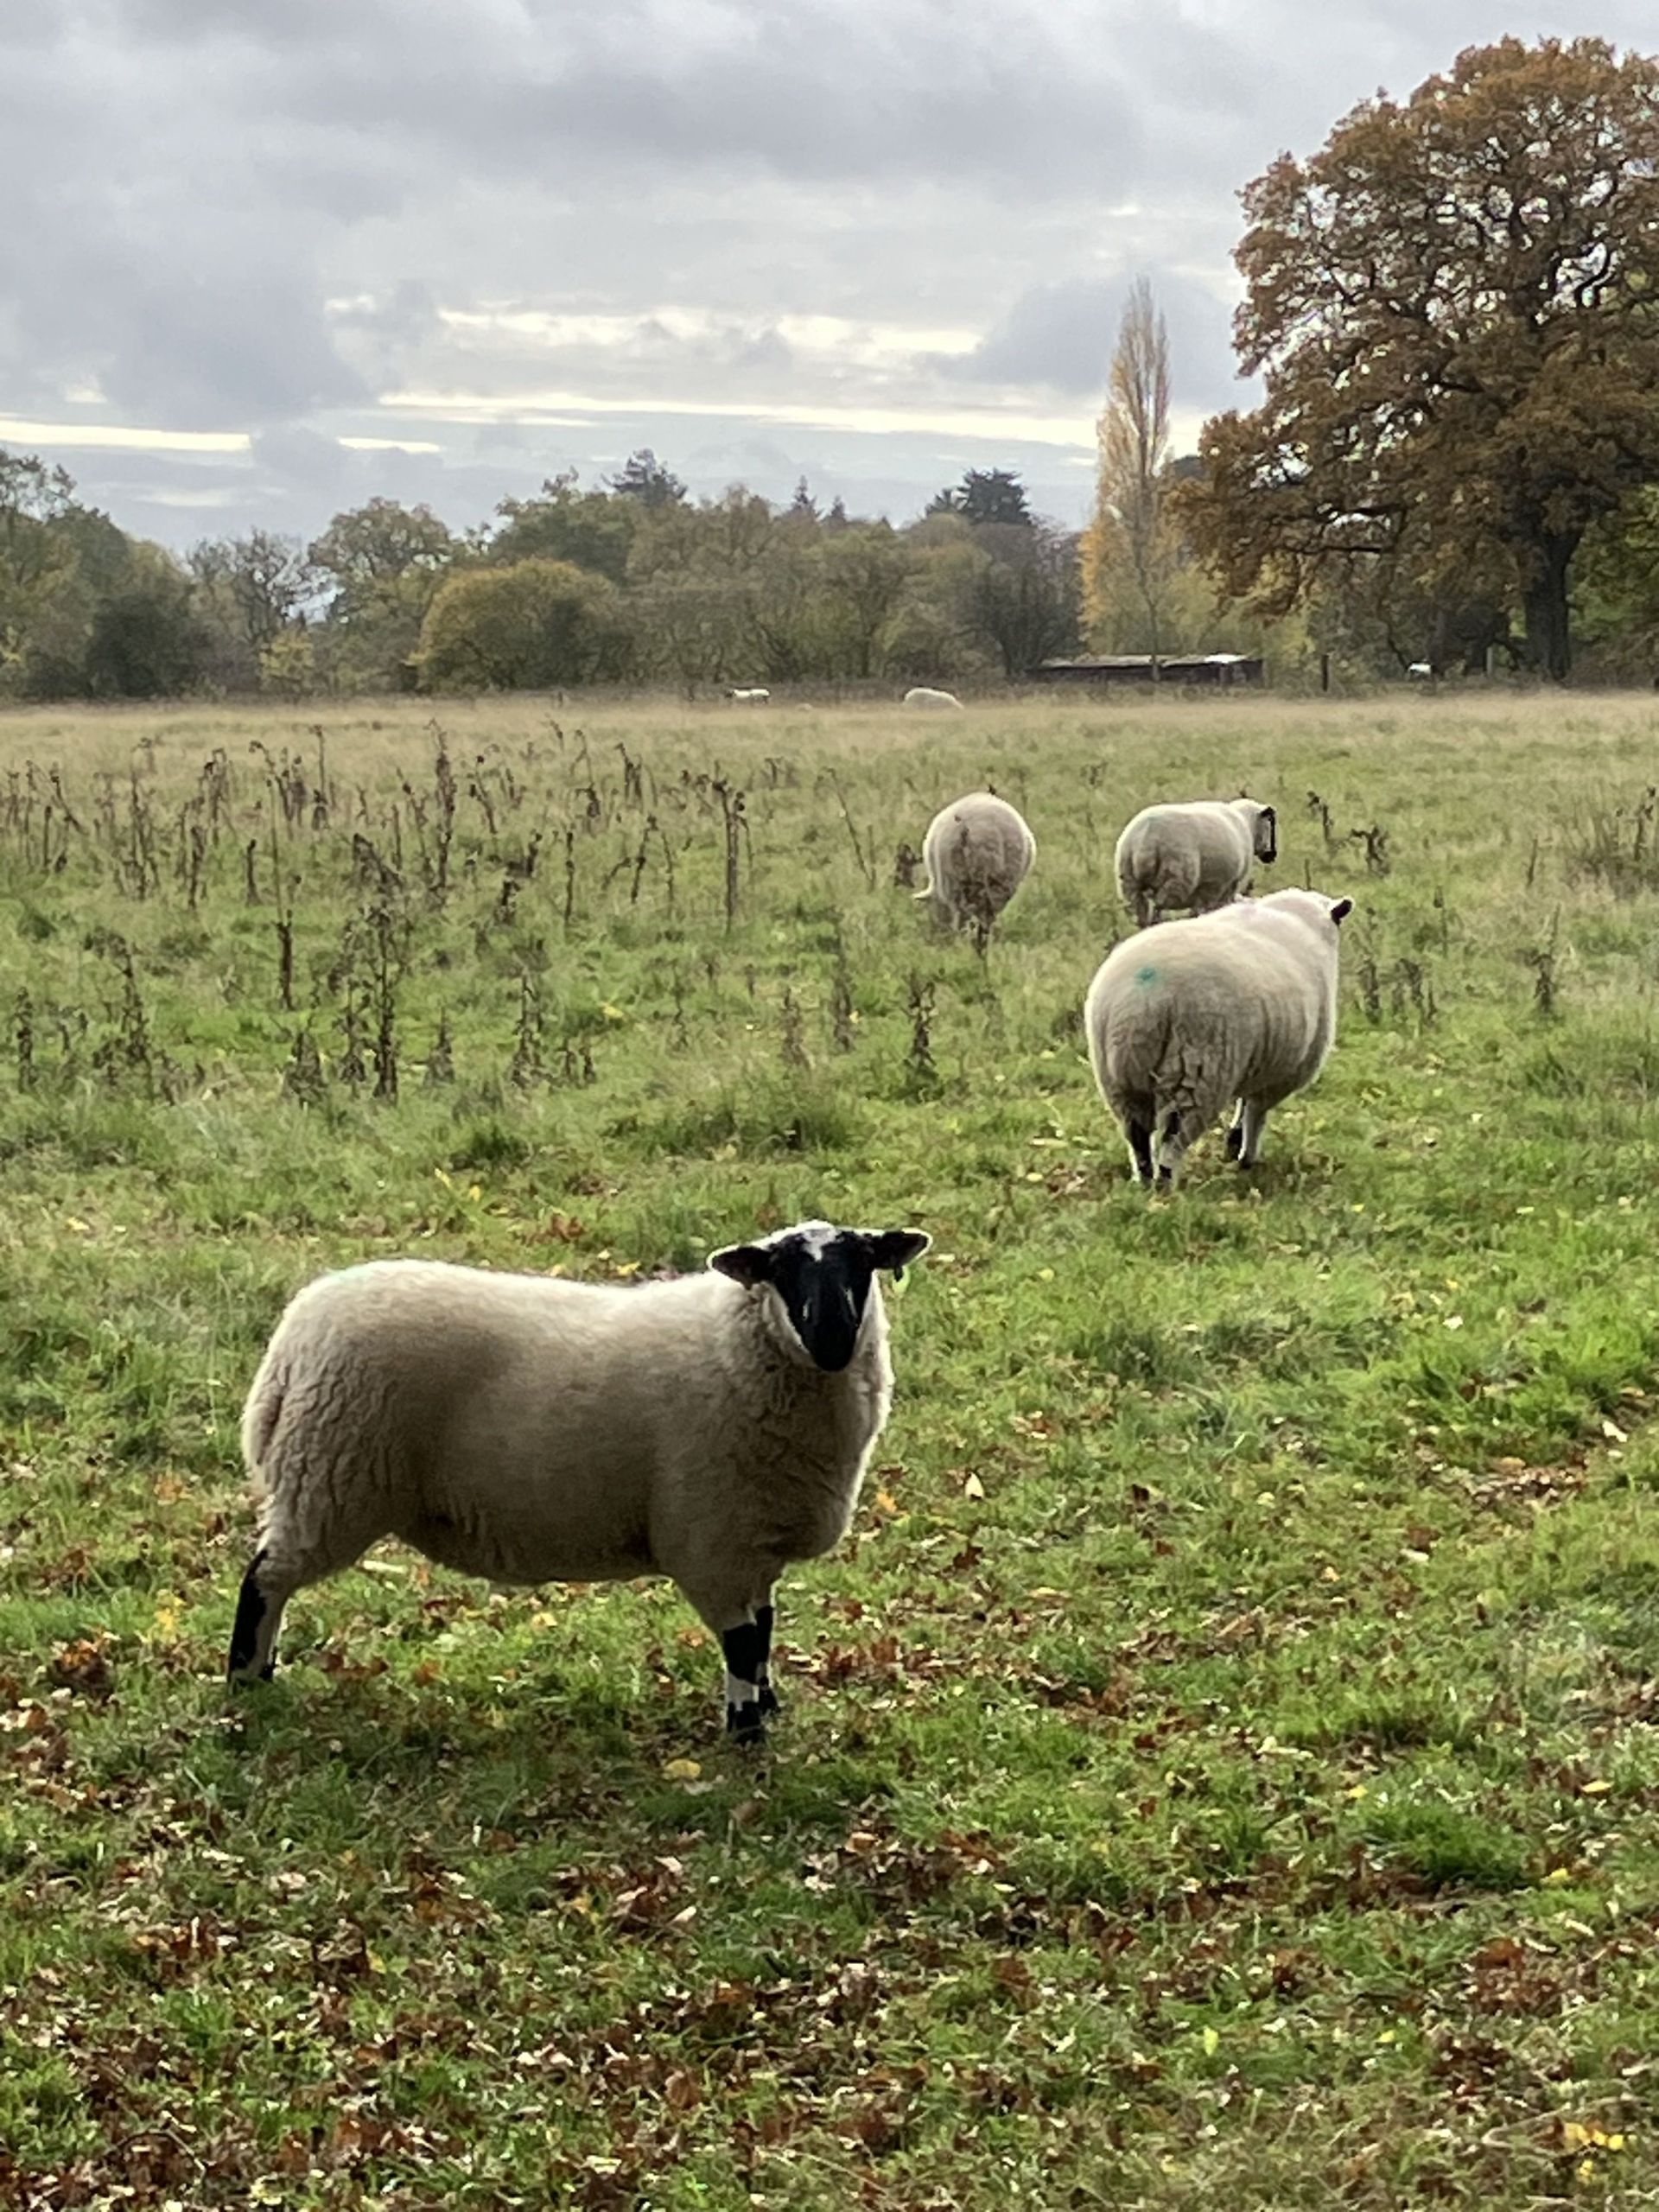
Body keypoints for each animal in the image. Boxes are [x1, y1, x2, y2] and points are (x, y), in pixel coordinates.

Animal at [226, 1220, 929, 1740]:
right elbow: (742, 1641)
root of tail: (293, 1339)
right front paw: (746, 1731)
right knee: (264, 1580)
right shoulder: (711, 1540)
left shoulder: (752, 1540)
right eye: (781, 1272)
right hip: (330, 1481)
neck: (742, 1346)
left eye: (862, 1263)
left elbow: (764, 1631)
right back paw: (246, 1681)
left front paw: (768, 1704)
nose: (833, 1337)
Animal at [1084, 888, 1353, 1186]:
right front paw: (1246, 1156)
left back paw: (1143, 1182)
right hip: (1197, 1069)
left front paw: (1233, 1142)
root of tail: (1140, 999)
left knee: (1137, 1137)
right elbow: (1255, 1113)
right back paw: (1165, 1186)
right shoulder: (1279, 1076)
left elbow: (1243, 1105)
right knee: (1173, 1138)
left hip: (1117, 1081)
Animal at [1114, 798, 1278, 927]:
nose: (1272, 855)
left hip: (1130, 885)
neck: (1246, 824)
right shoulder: (1225, 887)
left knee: (1142, 916)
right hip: (1176, 877)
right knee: (1157, 910)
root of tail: (1146, 837)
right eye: (1270, 824)